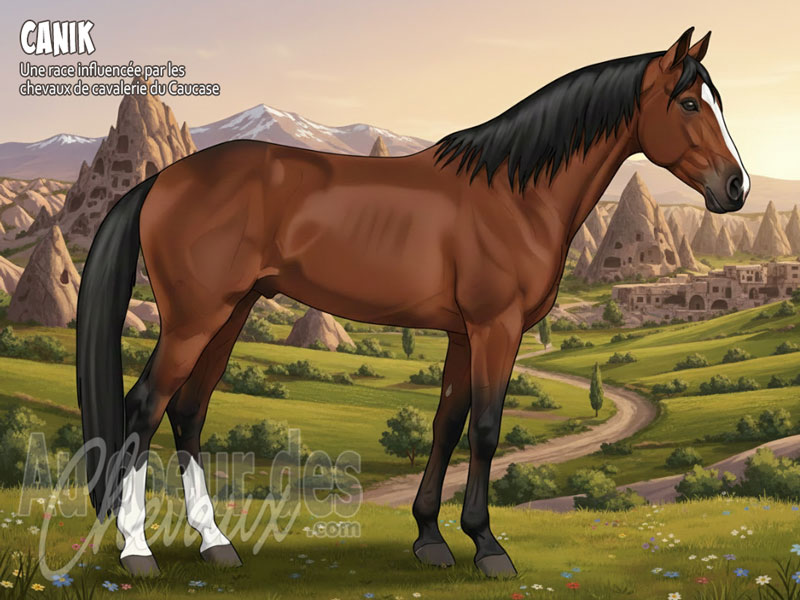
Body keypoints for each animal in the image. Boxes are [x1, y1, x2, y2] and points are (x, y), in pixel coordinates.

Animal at [77, 27, 749, 578]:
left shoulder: (463, 333)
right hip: (195, 318)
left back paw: (216, 543)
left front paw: (430, 537)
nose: (736, 187)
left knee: (189, 410)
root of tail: (162, 179)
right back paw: (137, 551)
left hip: (232, 312)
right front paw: (487, 547)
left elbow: (446, 423)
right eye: (689, 103)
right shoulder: (496, 327)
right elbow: (485, 429)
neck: (514, 193)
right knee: (145, 406)